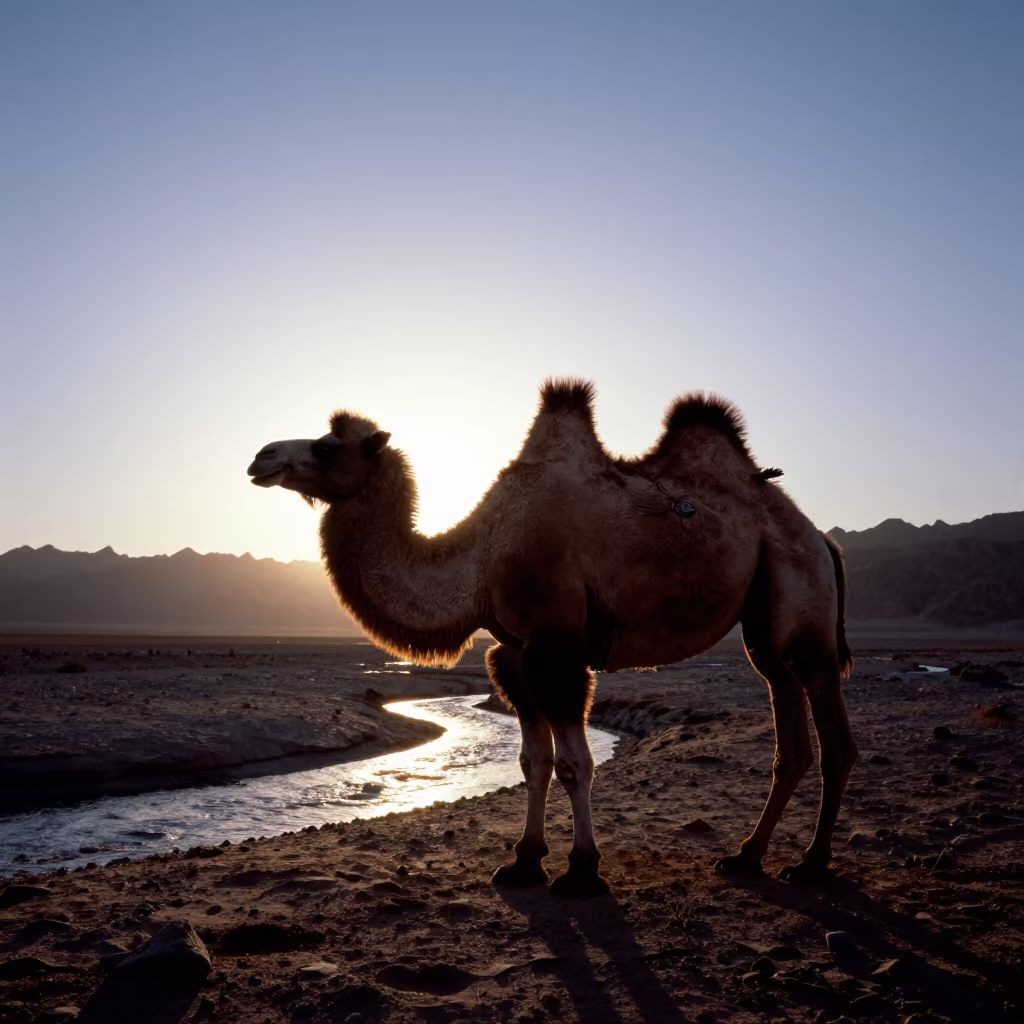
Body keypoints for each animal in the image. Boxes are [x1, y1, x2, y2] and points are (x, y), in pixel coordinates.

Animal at [247, 379, 856, 895]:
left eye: (328, 447)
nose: (261, 457)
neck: (481, 556)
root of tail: (823, 540)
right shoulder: (515, 654)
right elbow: (532, 761)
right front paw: (523, 861)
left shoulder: (557, 649)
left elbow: (574, 764)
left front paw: (582, 870)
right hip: (764, 629)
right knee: (788, 731)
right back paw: (746, 857)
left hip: (804, 599)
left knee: (833, 736)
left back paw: (810, 864)